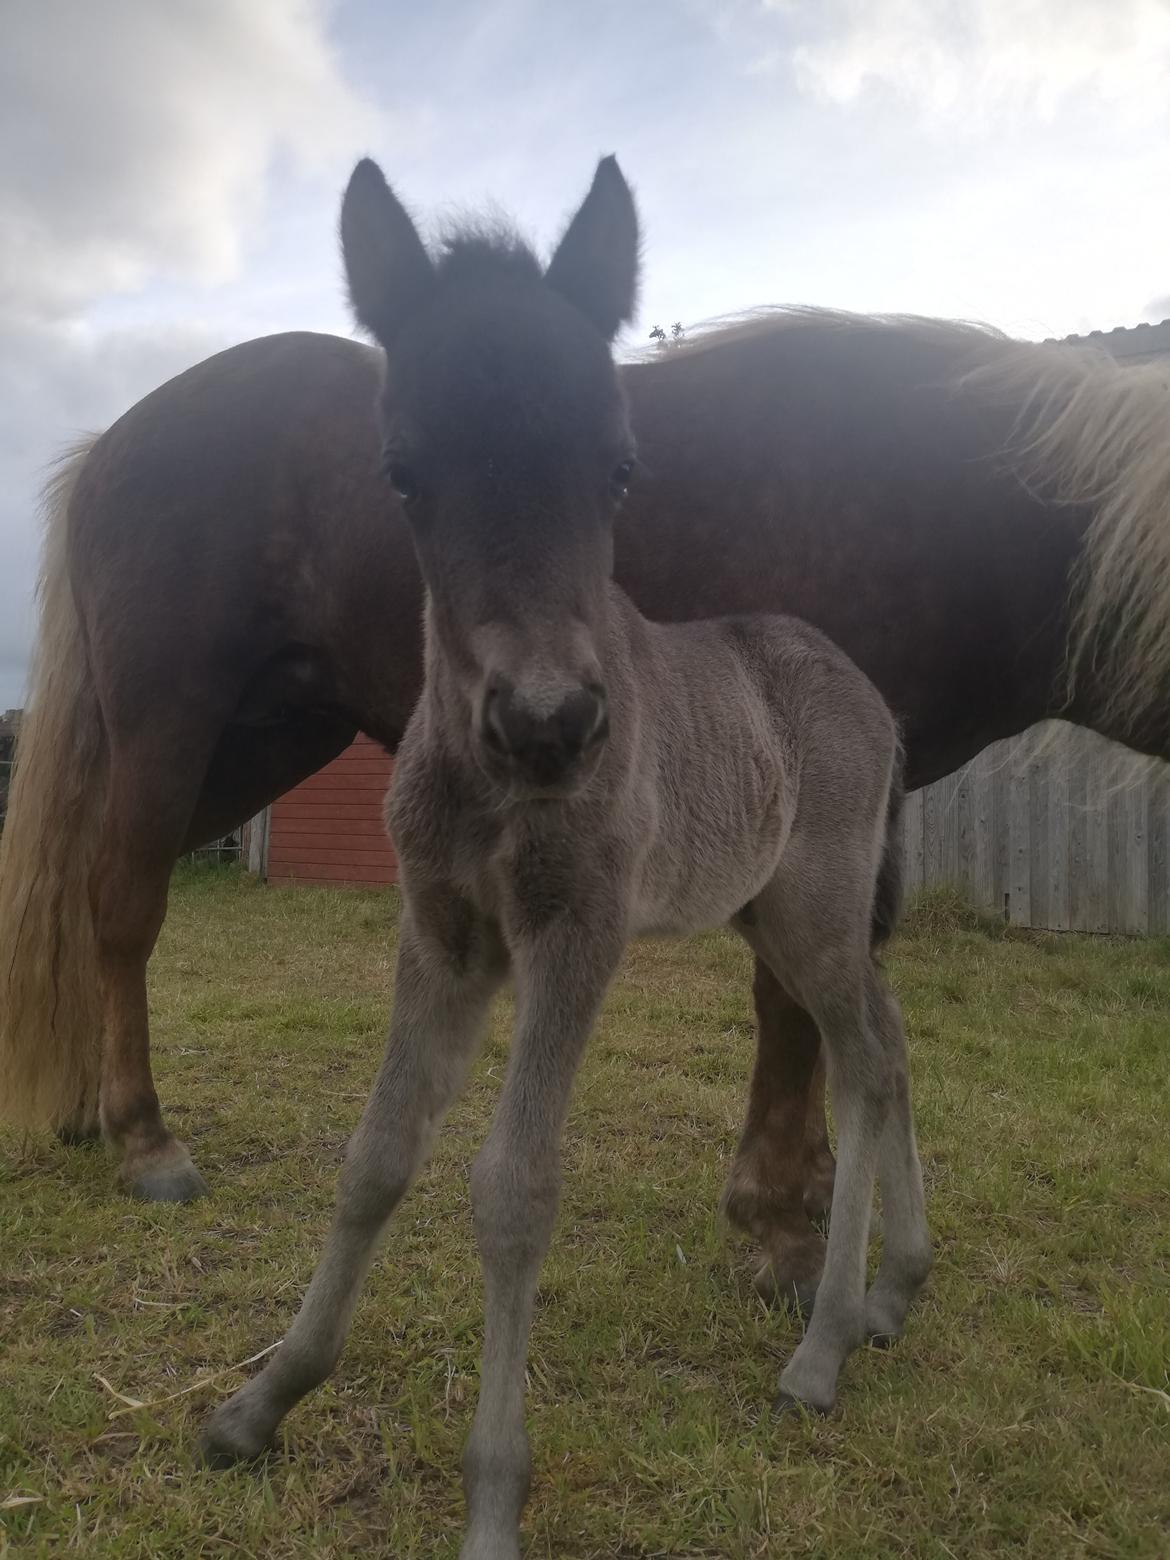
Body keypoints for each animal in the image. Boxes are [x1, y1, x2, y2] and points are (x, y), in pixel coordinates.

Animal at [2, 185, 1170, 1304]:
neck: (940, 501)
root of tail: (109, 446)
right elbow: (790, 997)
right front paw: (783, 1228)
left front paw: (809, 1199)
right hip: (172, 727)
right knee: (123, 903)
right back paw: (145, 1140)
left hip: (260, 740)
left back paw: (83, 1108)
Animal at [204, 158, 935, 1560]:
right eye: (405, 474)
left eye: (620, 471)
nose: (548, 725)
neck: (490, 793)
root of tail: (871, 694)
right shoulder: (443, 934)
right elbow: (376, 1155)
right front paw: (263, 1401)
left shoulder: (574, 936)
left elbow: (511, 1190)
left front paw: (493, 1499)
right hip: (773, 912)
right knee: (890, 1039)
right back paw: (896, 1290)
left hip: (815, 907)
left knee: (867, 1061)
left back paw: (822, 1350)